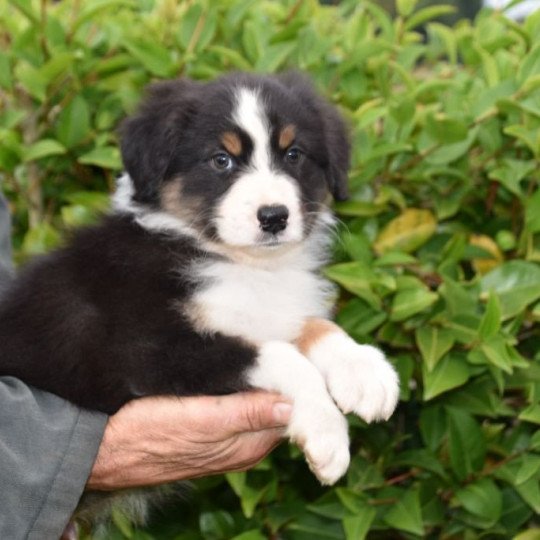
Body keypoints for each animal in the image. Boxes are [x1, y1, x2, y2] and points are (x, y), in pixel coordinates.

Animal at [0, 70, 396, 528]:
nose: (274, 217)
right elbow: (280, 355)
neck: (235, 262)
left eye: (293, 154)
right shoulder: (144, 349)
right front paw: (326, 433)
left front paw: (364, 372)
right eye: (221, 160)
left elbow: (313, 326)